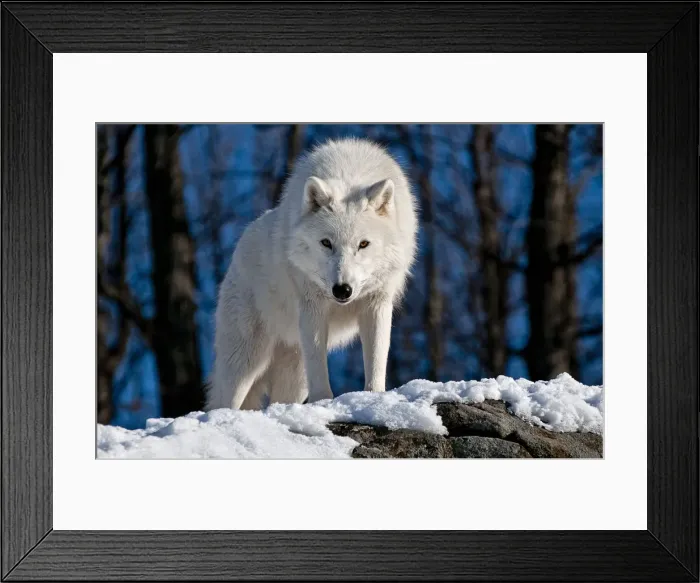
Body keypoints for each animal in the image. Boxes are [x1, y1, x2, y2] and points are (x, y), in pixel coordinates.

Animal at [206, 137, 418, 410]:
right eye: (326, 243)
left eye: (363, 244)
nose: (342, 290)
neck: (350, 171)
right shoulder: (312, 306)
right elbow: (319, 368)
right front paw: (323, 402)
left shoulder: (377, 303)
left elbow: (376, 358)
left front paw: (374, 397)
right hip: (246, 359)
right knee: (225, 399)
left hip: (293, 373)